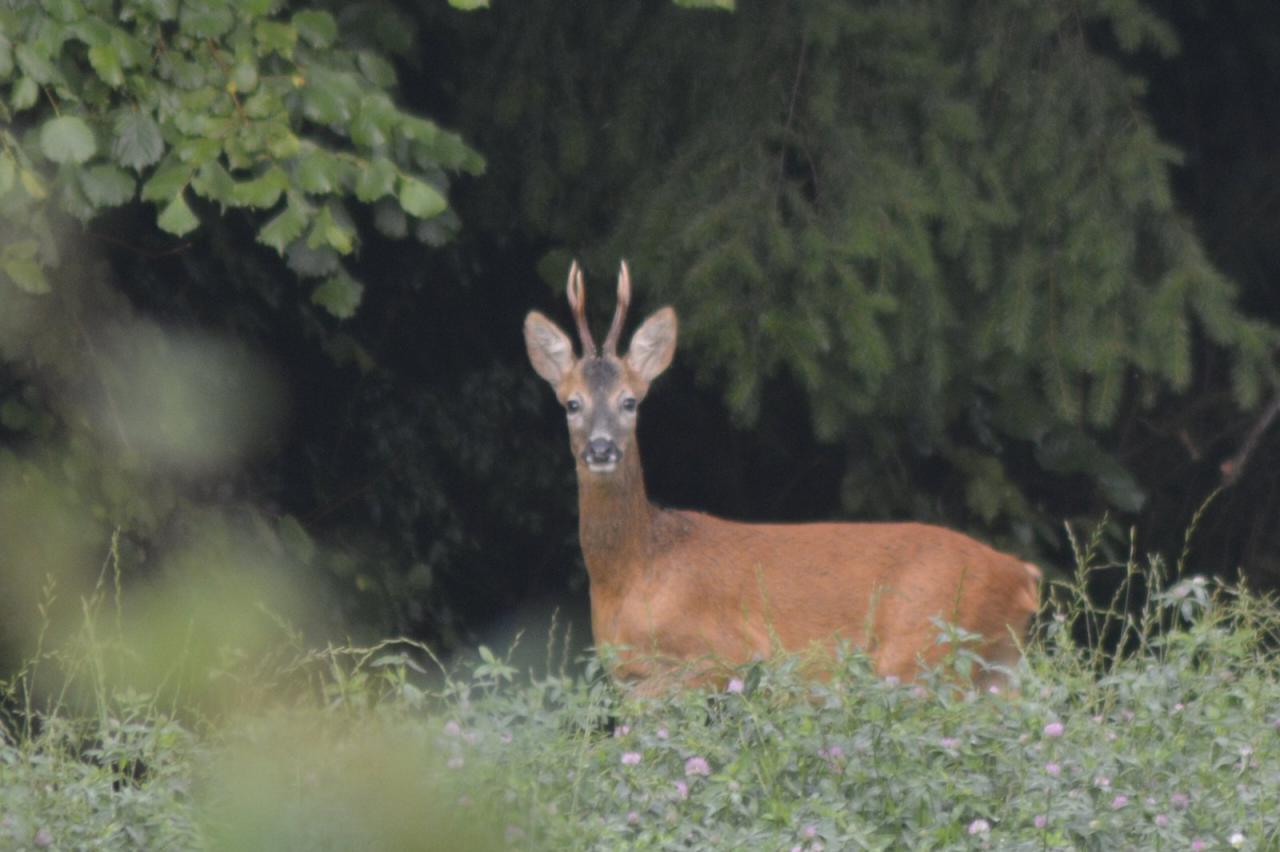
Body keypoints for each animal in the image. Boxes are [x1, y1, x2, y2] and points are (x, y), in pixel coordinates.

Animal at [524, 258, 1034, 690]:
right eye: (572, 404)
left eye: (630, 401)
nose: (601, 448)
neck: (633, 573)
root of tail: (1021, 573)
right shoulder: (627, 679)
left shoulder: (716, 657)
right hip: (996, 667)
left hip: (921, 650)